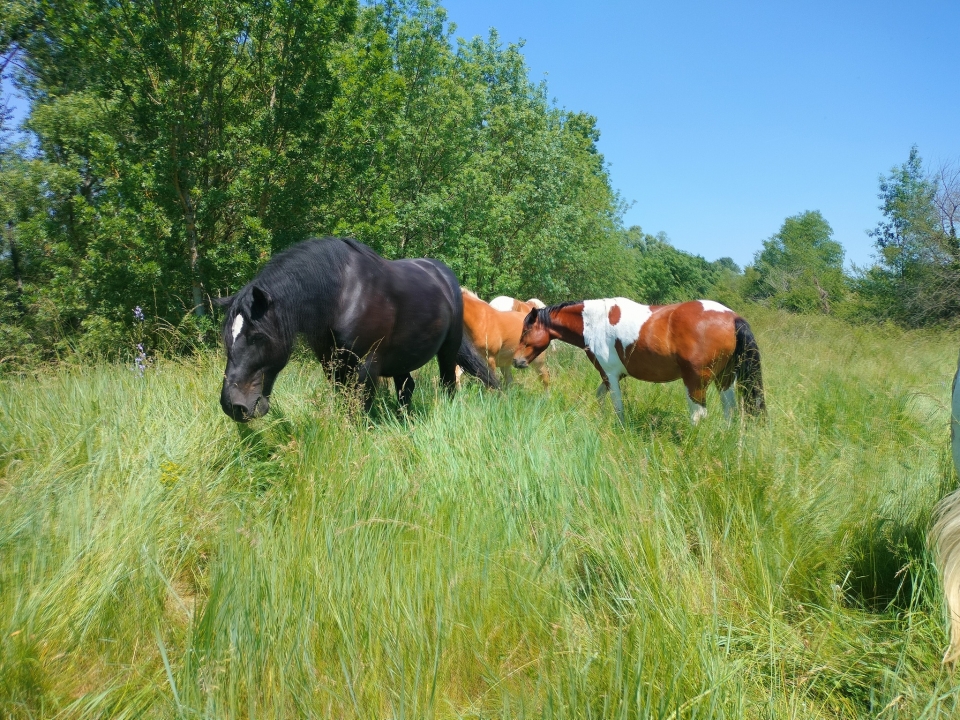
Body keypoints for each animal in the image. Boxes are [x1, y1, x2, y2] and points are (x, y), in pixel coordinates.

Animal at [215, 237, 498, 421]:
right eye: (228, 339)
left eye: (257, 337)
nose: (233, 406)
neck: (344, 295)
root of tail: (444, 275)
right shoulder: (333, 365)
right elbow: (344, 402)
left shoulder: (366, 366)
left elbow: (358, 407)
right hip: (403, 357)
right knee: (406, 387)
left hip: (448, 349)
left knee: (448, 383)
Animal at [513, 297, 765, 423]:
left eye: (525, 331)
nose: (517, 361)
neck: (594, 321)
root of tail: (732, 317)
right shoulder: (611, 376)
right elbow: (600, 396)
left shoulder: (611, 375)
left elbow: (617, 406)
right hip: (724, 379)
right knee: (729, 409)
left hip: (695, 382)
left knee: (699, 415)